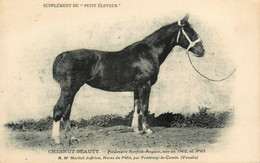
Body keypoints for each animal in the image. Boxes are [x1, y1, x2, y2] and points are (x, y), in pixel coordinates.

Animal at [51, 14, 205, 143]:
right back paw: (57, 139)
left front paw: (136, 130)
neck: (148, 53)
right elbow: (144, 107)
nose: (202, 51)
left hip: (72, 90)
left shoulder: (137, 88)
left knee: (66, 112)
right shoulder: (145, 85)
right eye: (189, 31)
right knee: (59, 108)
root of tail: (64, 55)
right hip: (69, 89)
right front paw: (148, 130)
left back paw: (72, 138)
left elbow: (136, 108)